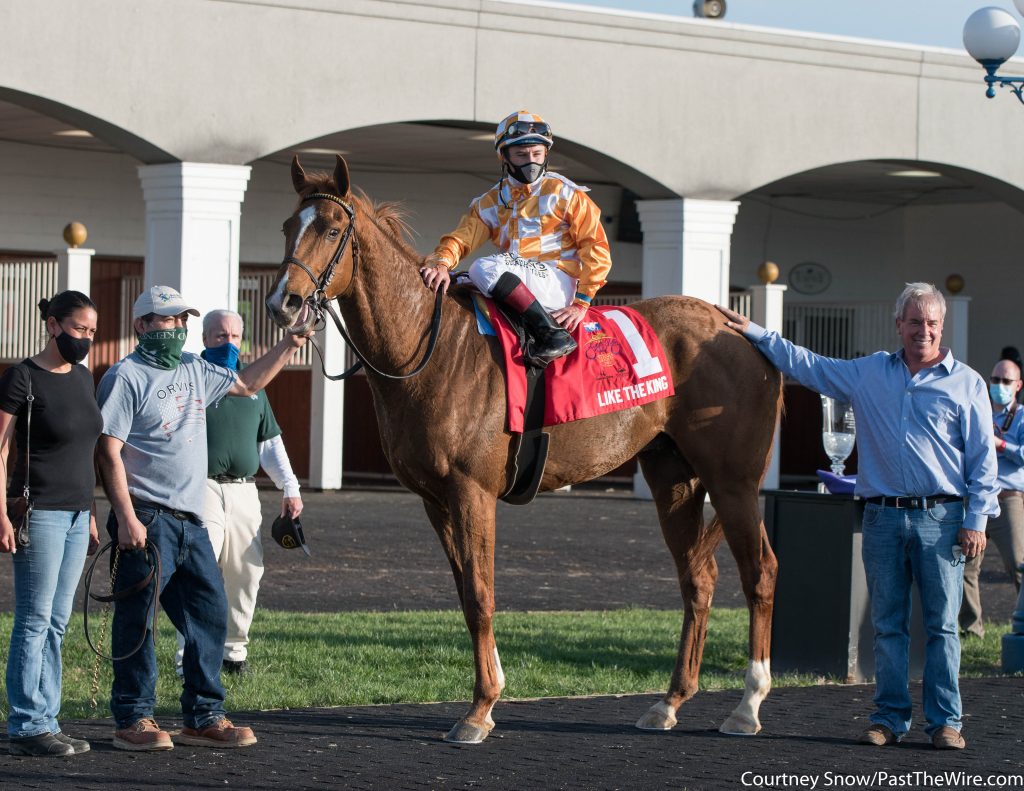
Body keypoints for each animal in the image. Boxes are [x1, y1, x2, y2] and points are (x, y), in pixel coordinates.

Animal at [266, 157, 782, 745]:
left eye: (332, 229)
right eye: (288, 225)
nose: (282, 302)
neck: (430, 348)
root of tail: (737, 325)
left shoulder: (472, 491)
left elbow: (482, 594)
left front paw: (479, 708)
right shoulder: (435, 499)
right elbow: (467, 594)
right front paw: (487, 698)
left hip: (733, 479)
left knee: (760, 570)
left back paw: (748, 704)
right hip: (672, 478)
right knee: (698, 577)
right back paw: (669, 701)